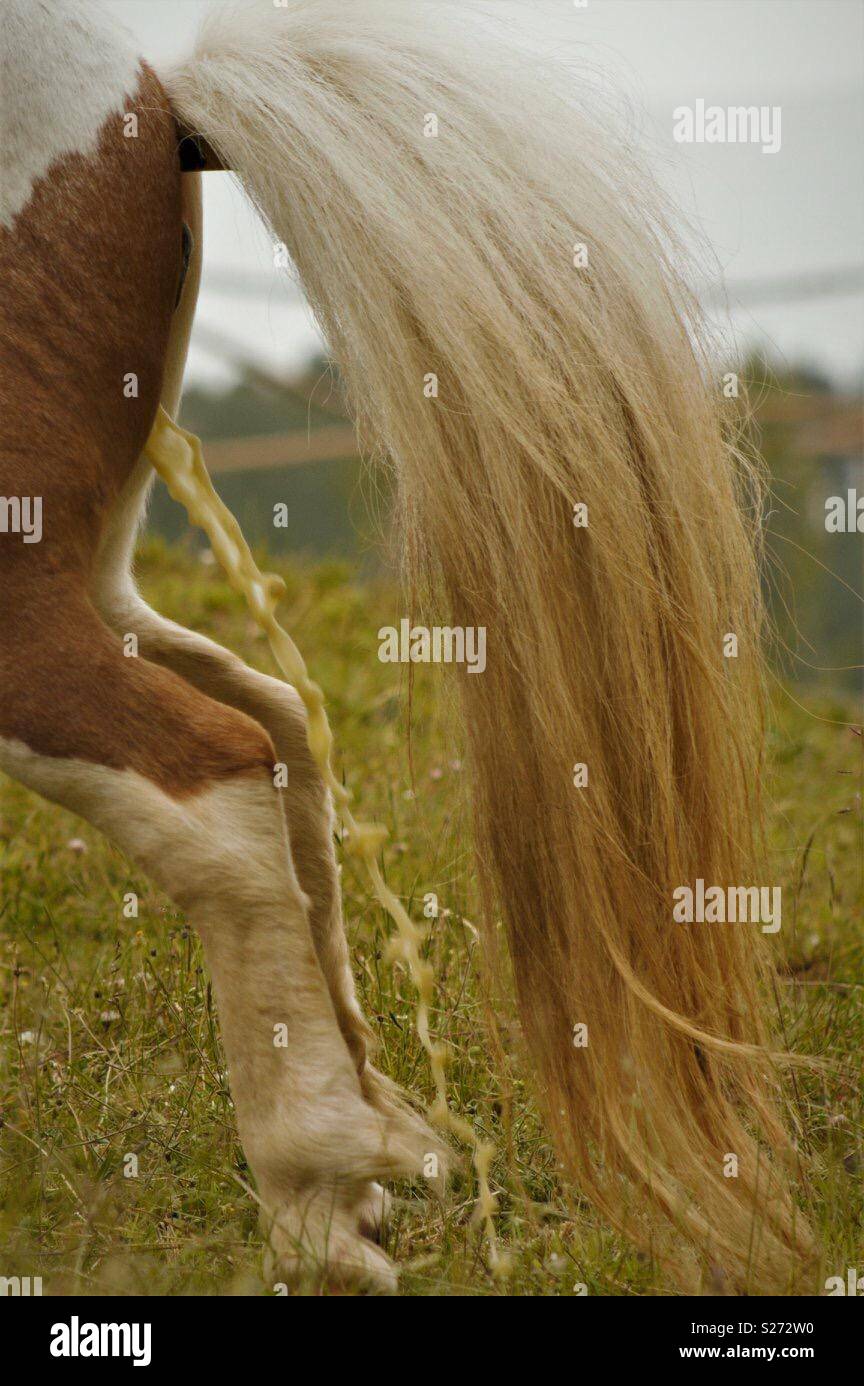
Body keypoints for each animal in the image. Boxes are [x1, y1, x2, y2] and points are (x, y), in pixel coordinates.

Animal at [0, 0, 814, 1292]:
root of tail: (145, 97)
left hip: (22, 590)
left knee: (217, 776)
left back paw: (320, 1198)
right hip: (99, 575)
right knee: (279, 729)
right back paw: (366, 1163)